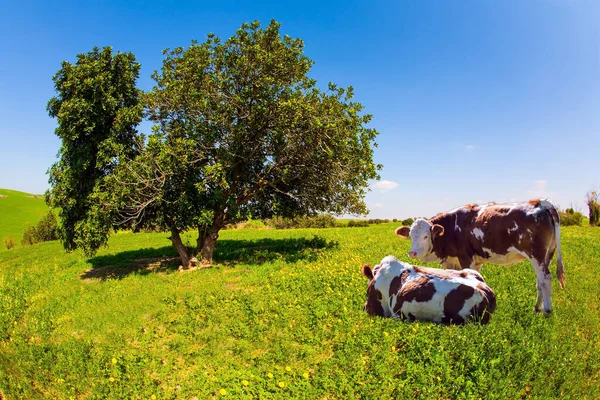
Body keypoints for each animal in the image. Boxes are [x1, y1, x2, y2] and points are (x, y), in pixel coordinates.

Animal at [396, 198, 564, 314]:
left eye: (426, 236)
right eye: (410, 236)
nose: (413, 252)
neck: (451, 228)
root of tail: (540, 203)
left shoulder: (466, 258)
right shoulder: (459, 261)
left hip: (537, 255)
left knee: (546, 279)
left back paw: (547, 311)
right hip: (547, 255)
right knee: (540, 281)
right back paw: (537, 308)